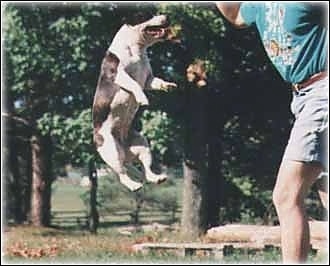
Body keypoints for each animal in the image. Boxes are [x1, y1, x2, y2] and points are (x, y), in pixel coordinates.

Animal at [91, 15, 177, 191]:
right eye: (149, 15)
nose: (166, 17)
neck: (137, 46)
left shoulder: (148, 79)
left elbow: (156, 82)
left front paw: (168, 85)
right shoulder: (119, 74)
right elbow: (134, 85)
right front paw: (142, 99)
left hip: (141, 144)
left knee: (144, 168)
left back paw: (156, 178)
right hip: (112, 150)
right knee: (122, 174)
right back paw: (134, 185)